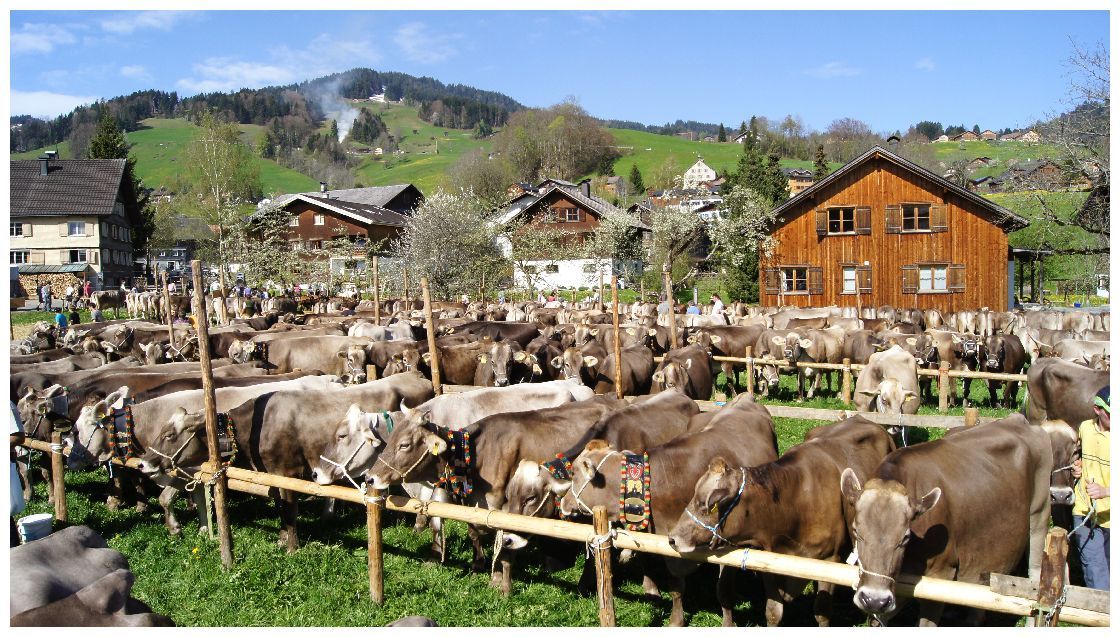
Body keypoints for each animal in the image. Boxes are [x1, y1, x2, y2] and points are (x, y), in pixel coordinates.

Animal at [667, 415, 895, 627]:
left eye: (705, 503)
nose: (672, 538)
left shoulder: (831, 558)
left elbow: (822, 613)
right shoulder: (770, 561)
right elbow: (773, 612)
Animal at [839, 414, 1051, 626]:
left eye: (905, 538)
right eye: (857, 532)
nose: (875, 599)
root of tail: (1017, 419)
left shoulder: (940, 574)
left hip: (1039, 514)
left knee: (1035, 581)